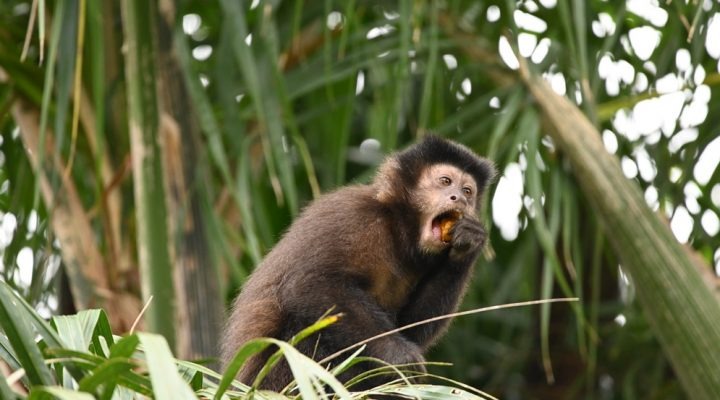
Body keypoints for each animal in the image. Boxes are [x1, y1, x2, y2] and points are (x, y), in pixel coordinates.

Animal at [221, 135, 495, 391]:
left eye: (468, 191)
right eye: (445, 181)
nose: (459, 198)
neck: (396, 227)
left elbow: (411, 327)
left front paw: (468, 246)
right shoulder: (353, 214)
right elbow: (310, 284)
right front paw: (398, 356)